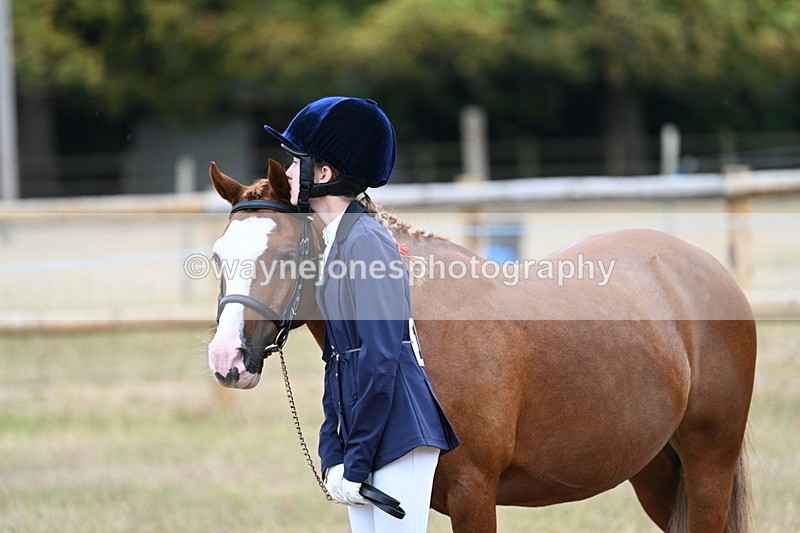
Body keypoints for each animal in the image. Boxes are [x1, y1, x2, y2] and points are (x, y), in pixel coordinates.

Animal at [206, 159, 756, 532]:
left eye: (284, 254)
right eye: (217, 256)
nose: (227, 360)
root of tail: (704, 266)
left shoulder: (474, 494)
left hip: (709, 462)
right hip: (657, 471)